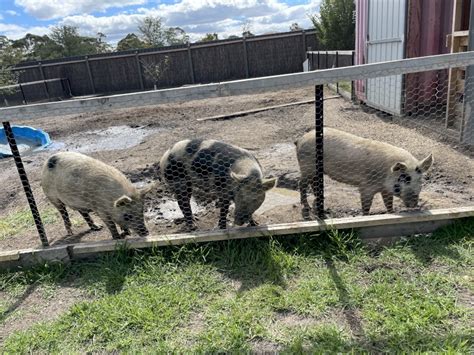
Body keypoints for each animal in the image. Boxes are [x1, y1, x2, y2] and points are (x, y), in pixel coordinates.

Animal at [294, 128, 436, 217]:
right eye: (405, 178)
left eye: (420, 180)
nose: (413, 204)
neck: (385, 175)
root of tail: (300, 139)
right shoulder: (366, 187)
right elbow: (366, 206)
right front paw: (365, 216)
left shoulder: (385, 190)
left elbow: (388, 204)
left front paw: (391, 213)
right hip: (307, 166)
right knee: (302, 183)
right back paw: (307, 207)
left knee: (313, 182)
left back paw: (320, 198)